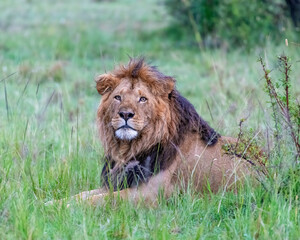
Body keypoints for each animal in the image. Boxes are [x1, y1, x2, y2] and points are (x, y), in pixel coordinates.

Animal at [47, 57, 255, 205]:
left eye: (142, 99)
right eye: (118, 97)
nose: (125, 114)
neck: (129, 149)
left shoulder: (151, 193)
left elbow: (101, 200)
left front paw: (63, 208)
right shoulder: (119, 181)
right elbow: (82, 195)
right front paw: (49, 204)